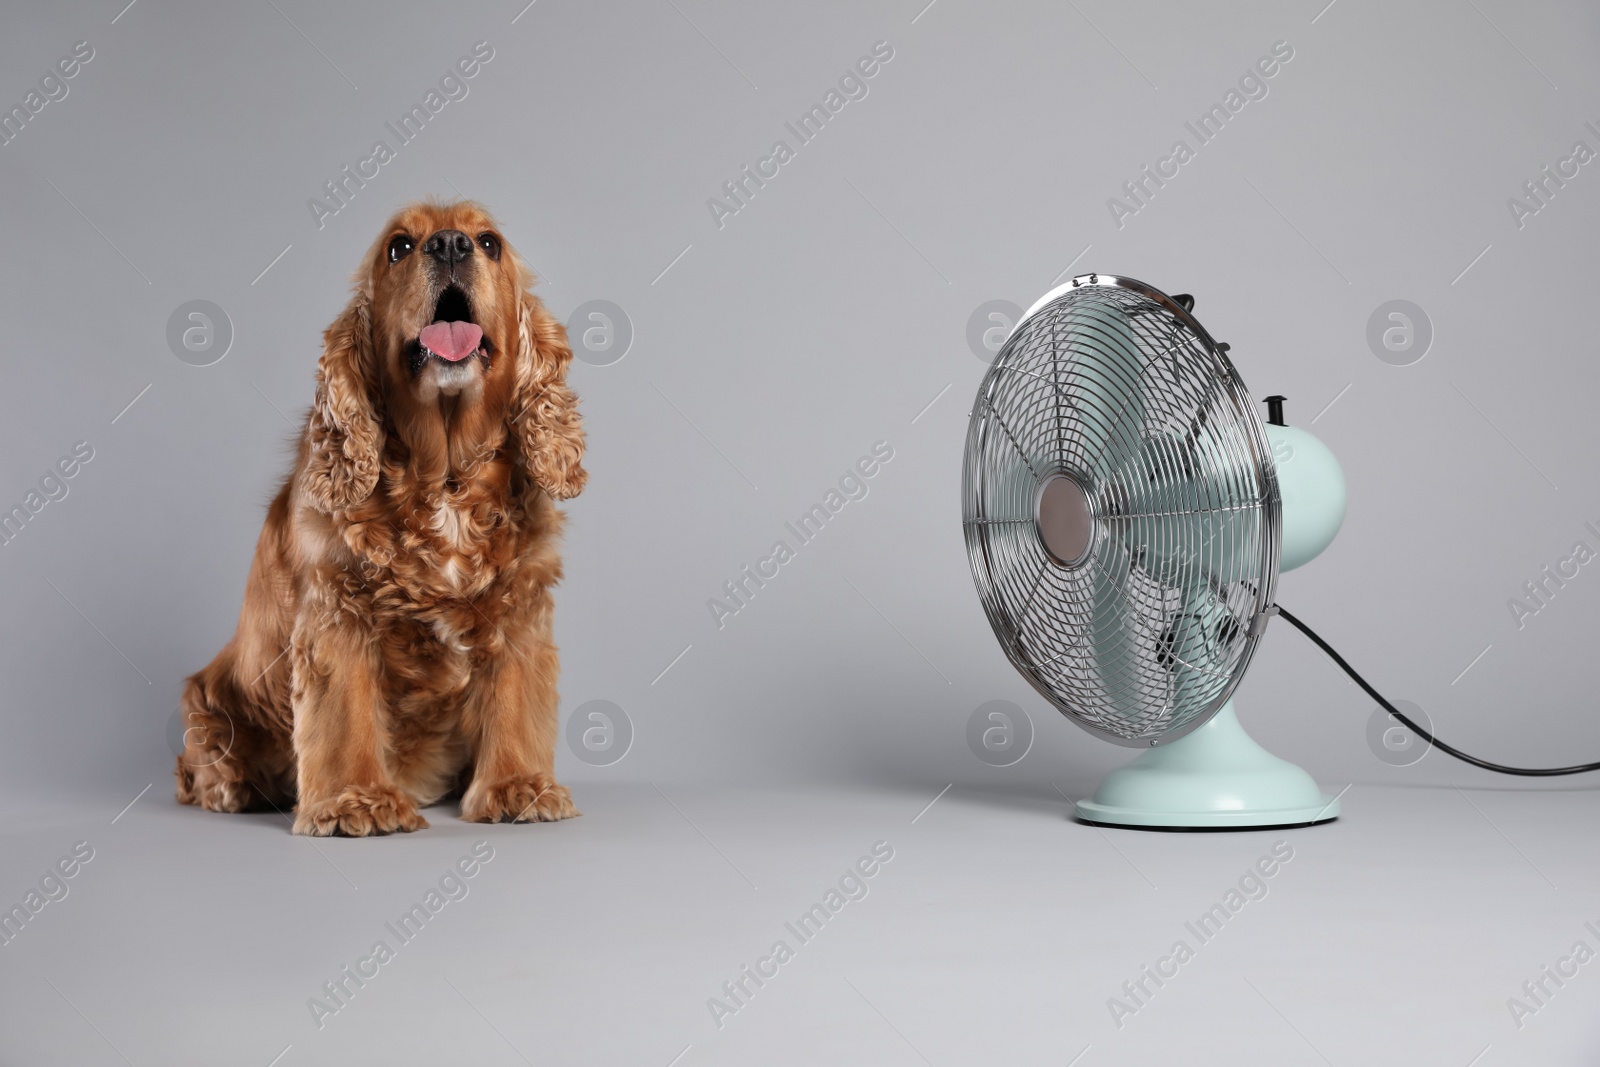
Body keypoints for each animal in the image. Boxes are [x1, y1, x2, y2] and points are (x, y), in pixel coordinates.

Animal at [176, 198, 588, 831]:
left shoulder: (519, 604)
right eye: (399, 247)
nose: (449, 244)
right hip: (208, 698)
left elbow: (515, 700)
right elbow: (345, 711)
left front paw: (519, 786)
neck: (445, 481)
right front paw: (356, 800)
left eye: (488, 242)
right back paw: (232, 788)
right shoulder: (337, 609)